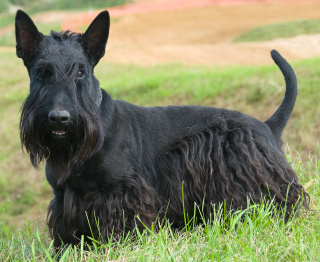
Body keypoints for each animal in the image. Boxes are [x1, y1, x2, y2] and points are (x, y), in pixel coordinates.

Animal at [16, 9, 308, 248]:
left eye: (80, 71)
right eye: (42, 72)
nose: (59, 118)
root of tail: (267, 125)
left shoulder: (123, 190)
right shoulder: (63, 197)